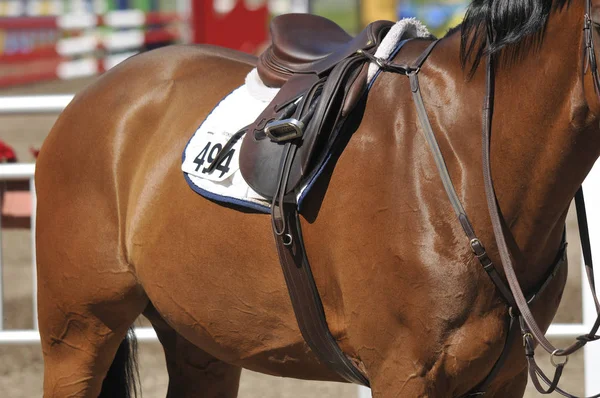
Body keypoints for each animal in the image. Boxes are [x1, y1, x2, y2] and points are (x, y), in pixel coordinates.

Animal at [36, 0, 600, 396]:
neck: (465, 157)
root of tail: (95, 93)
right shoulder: (404, 374)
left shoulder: (502, 380)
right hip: (77, 335)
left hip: (200, 339)